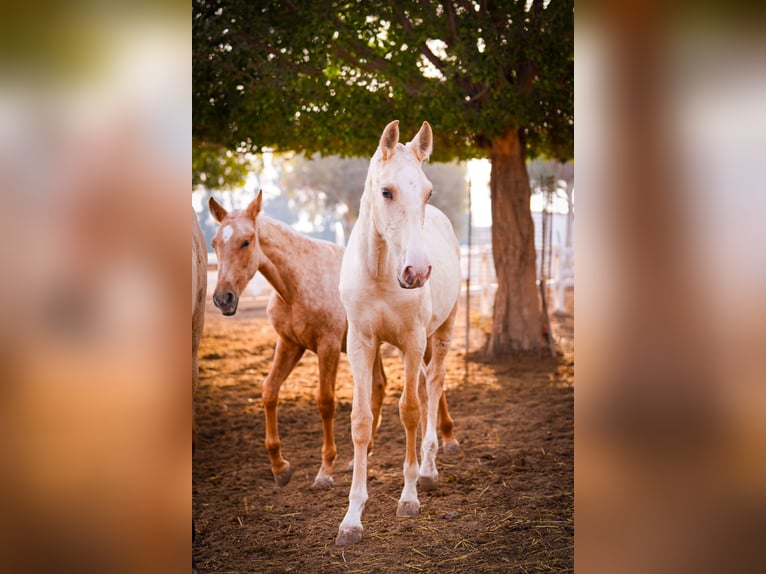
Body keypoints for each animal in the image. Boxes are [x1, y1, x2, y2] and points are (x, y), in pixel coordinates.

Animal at [208, 195, 456, 490]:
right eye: (214, 243)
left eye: (246, 241)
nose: (223, 299)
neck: (297, 282)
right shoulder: (289, 344)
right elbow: (269, 391)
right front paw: (280, 466)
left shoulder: (327, 347)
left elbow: (325, 402)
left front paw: (325, 470)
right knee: (382, 386)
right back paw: (365, 452)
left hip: (424, 339)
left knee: (433, 382)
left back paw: (449, 439)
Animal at [338, 122, 462, 548]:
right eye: (386, 191)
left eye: (428, 192)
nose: (417, 271)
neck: (380, 271)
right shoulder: (360, 344)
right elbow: (361, 420)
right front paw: (352, 518)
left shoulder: (412, 340)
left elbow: (409, 411)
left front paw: (409, 497)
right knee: (425, 388)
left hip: (439, 334)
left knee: (434, 385)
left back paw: (428, 470)